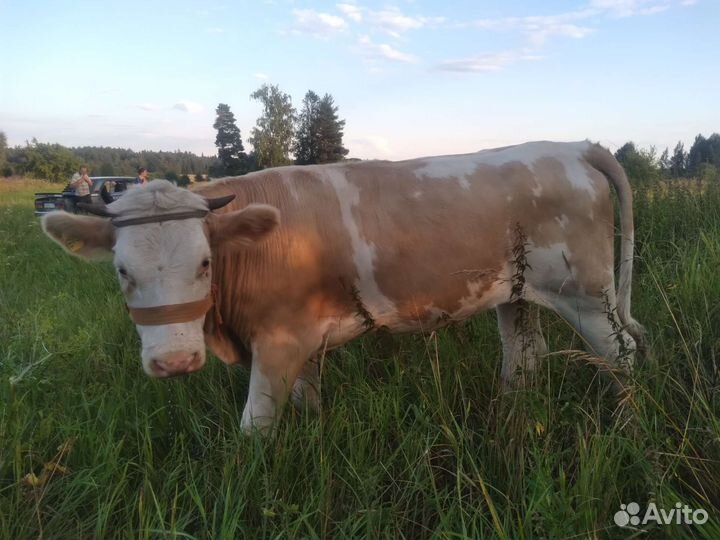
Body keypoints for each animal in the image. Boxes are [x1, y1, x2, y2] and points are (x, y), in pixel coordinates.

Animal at [42, 141, 644, 432]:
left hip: (588, 294)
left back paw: (628, 426)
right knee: (524, 355)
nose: (173, 361)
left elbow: (255, 426)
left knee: (621, 354)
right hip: (517, 292)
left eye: (205, 263)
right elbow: (306, 400)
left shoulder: (278, 341)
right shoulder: (297, 337)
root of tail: (574, 146)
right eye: (122, 271)